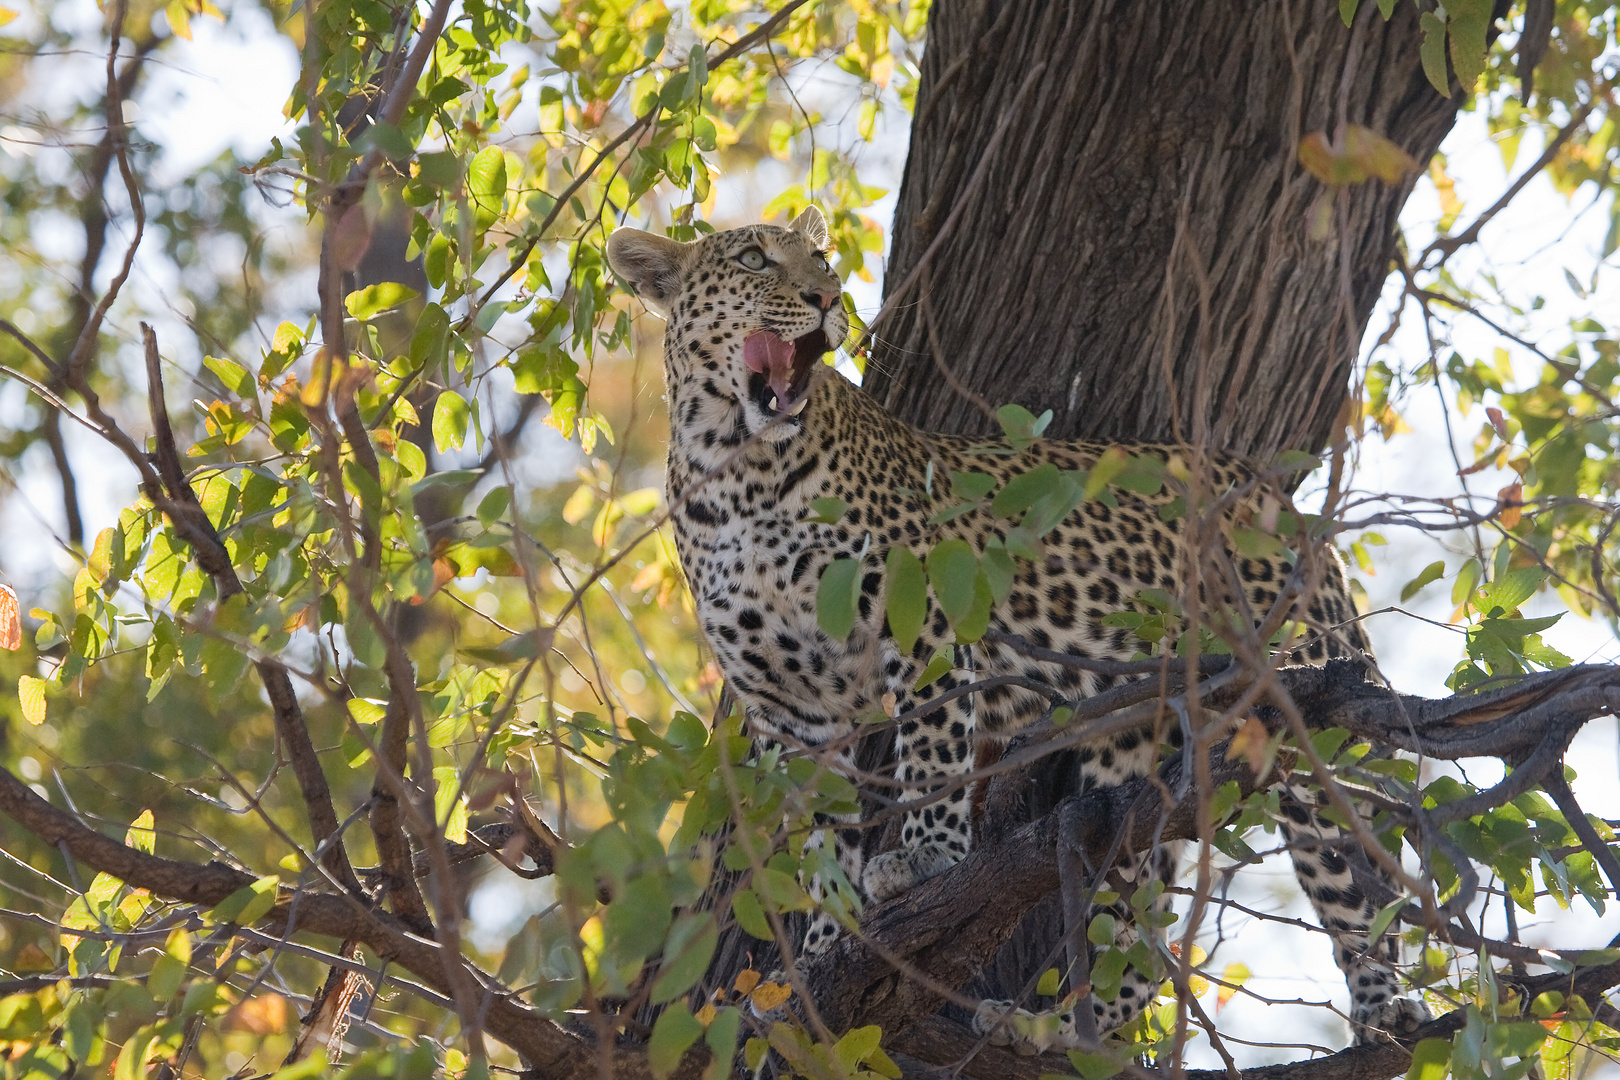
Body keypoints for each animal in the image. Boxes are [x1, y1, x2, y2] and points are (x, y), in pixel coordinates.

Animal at [609, 207, 1432, 1049]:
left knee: (1357, 876)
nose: (826, 298)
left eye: (823, 259)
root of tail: (1281, 500)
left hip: (1301, 701)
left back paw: (1386, 1004)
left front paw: (926, 858)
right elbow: (819, 841)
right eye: (753, 259)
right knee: (1139, 928)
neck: (732, 467)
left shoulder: (924, 614)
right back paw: (1064, 1030)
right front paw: (819, 956)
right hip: (1135, 748)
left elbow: (933, 748)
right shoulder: (793, 708)